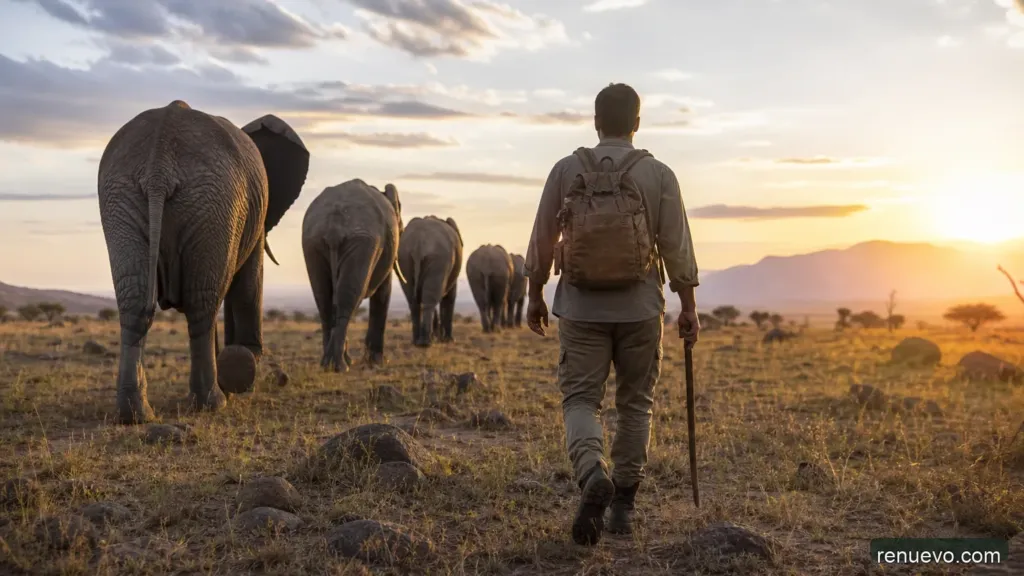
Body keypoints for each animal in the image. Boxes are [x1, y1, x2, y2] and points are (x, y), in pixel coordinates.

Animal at [97, 100, 309, 425]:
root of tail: (159, 165)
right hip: (215, 201)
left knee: (134, 301)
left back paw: (135, 415)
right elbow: (248, 286)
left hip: (124, 199)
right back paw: (213, 403)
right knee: (203, 302)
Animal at [301, 179, 403, 372]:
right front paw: (378, 362)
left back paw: (329, 364)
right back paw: (341, 366)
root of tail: (334, 227)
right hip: (363, 241)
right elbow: (383, 293)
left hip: (313, 242)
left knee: (324, 298)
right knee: (350, 297)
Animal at [397, 215, 463, 347]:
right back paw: (425, 343)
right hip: (438, 259)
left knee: (413, 301)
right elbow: (450, 297)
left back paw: (416, 342)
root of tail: (418, 244)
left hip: (404, 258)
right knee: (429, 301)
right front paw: (448, 340)